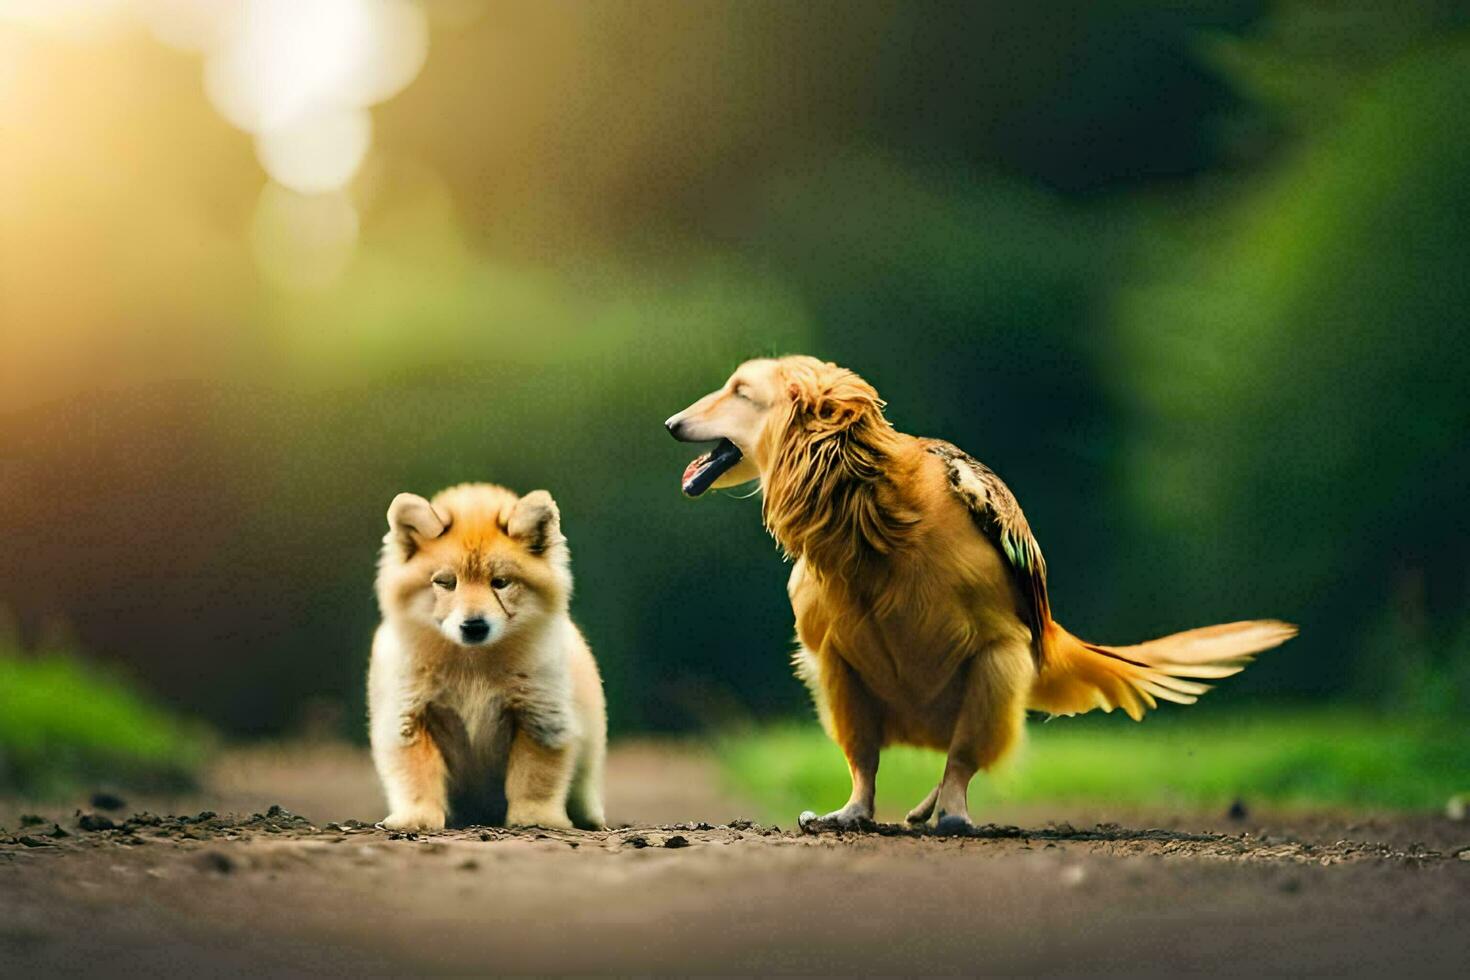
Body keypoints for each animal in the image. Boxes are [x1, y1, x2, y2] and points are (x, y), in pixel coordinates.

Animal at [370, 481, 605, 828]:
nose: (474, 626)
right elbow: (416, 778)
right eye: (445, 582)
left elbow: (535, 778)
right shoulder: (409, 718)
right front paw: (417, 818)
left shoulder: (540, 717)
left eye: (501, 582)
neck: (473, 667)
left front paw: (536, 818)